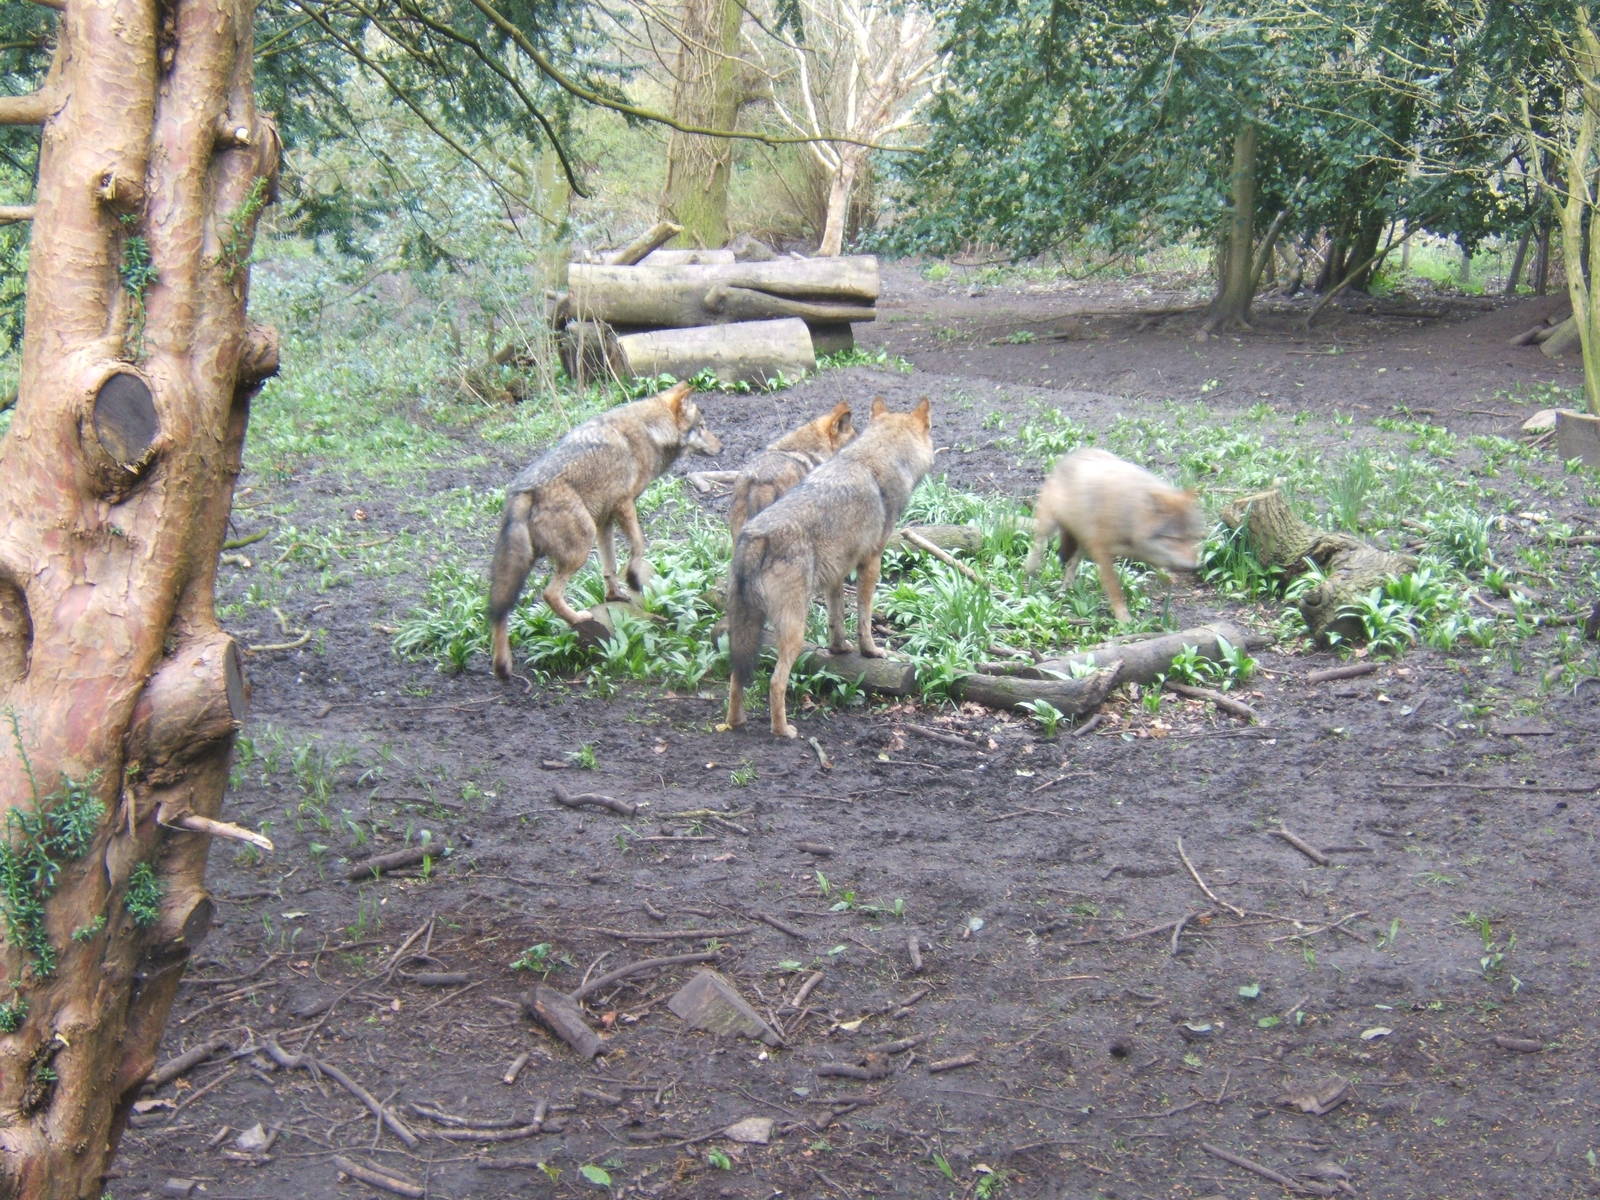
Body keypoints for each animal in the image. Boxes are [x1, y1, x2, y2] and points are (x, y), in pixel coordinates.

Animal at [489, 380, 721, 680]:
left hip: (525, 563)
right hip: (579, 548)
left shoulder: (605, 520)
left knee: (500, 610)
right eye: (702, 426)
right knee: (549, 594)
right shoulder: (625, 505)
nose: (721, 446)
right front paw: (632, 578)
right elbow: (638, 546)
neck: (651, 430)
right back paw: (577, 618)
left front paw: (615, 594)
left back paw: (503, 667)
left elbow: (609, 565)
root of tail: (524, 490)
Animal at [1023, 447, 1203, 621]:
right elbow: (1115, 588)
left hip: (1082, 543)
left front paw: (1169, 576)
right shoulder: (1102, 552)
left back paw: (1065, 589)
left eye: (1194, 537)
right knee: (1039, 544)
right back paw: (1032, 571)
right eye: (1174, 539)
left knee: (1071, 564)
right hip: (1050, 525)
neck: (1130, 517)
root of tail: (1076, 452)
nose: (1193, 567)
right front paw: (1123, 618)